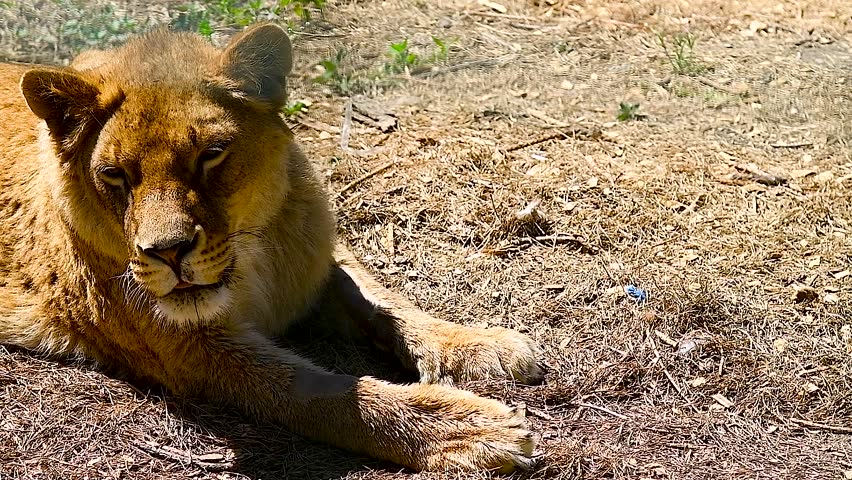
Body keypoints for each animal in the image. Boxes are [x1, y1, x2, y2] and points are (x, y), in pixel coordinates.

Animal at [0, 23, 543, 472]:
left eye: (211, 154)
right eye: (114, 175)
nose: (168, 252)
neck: (252, 262)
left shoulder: (319, 264)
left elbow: (384, 301)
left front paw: (479, 346)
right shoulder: (193, 351)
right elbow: (323, 392)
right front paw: (466, 429)